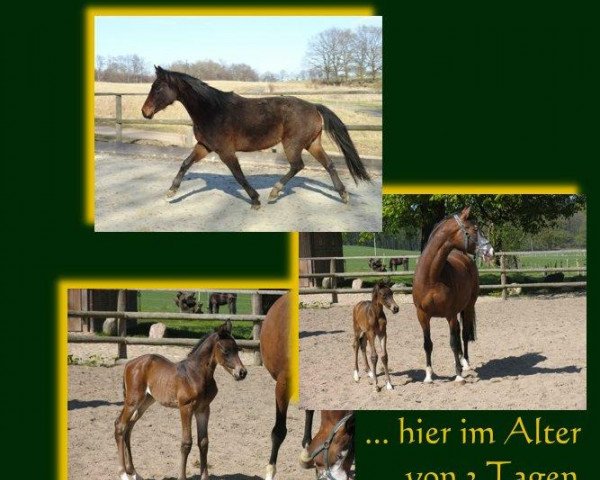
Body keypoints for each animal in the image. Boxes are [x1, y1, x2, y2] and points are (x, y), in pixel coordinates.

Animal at [115, 318, 246, 480]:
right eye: (225, 351)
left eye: (237, 349)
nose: (242, 372)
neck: (197, 374)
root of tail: (129, 364)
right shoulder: (185, 408)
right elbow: (186, 443)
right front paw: (182, 476)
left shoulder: (203, 409)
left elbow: (203, 442)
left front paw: (205, 476)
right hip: (133, 400)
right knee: (120, 426)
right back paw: (123, 473)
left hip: (146, 402)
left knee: (129, 427)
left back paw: (133, 472)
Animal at [143, 66, 372, 209]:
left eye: (158, 88)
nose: (145, 112)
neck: (212, 110)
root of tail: (314, 107)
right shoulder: (204, 146)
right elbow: (185, 163)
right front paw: (171, 192)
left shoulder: (225, 151)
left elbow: (239, 175)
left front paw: (255, 200)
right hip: (312, 143)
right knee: (329, 164)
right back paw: (343, 195)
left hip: (293, 144)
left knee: (297, 165)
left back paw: (274, 192)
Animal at [410, 208, 494, 384]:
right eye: (475, 229)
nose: (490, 251)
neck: (432, 277)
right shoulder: (422, 316)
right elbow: (427, 344)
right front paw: (428, 376)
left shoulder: (450, 315)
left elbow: (454, 342)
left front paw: (459, 375)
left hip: (467, 307)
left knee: (464, 335)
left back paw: (465, 363)